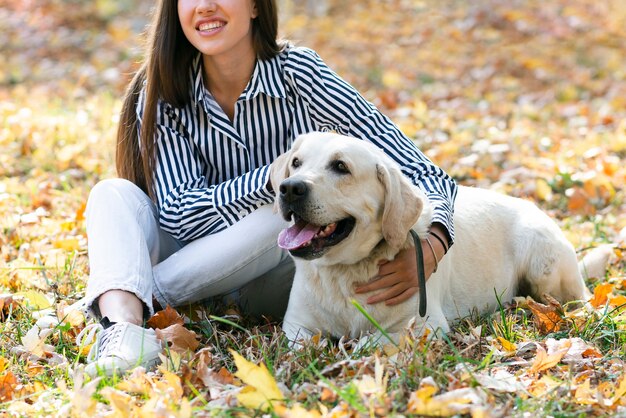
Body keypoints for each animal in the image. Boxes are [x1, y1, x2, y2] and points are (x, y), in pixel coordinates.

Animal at [270, 132, 588, 344]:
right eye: (296, 162)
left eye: (340, 167)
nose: (289, 188)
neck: (344, 274)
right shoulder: (296, 325)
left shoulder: (424, 325)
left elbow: (370, 340)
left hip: (542, 264)